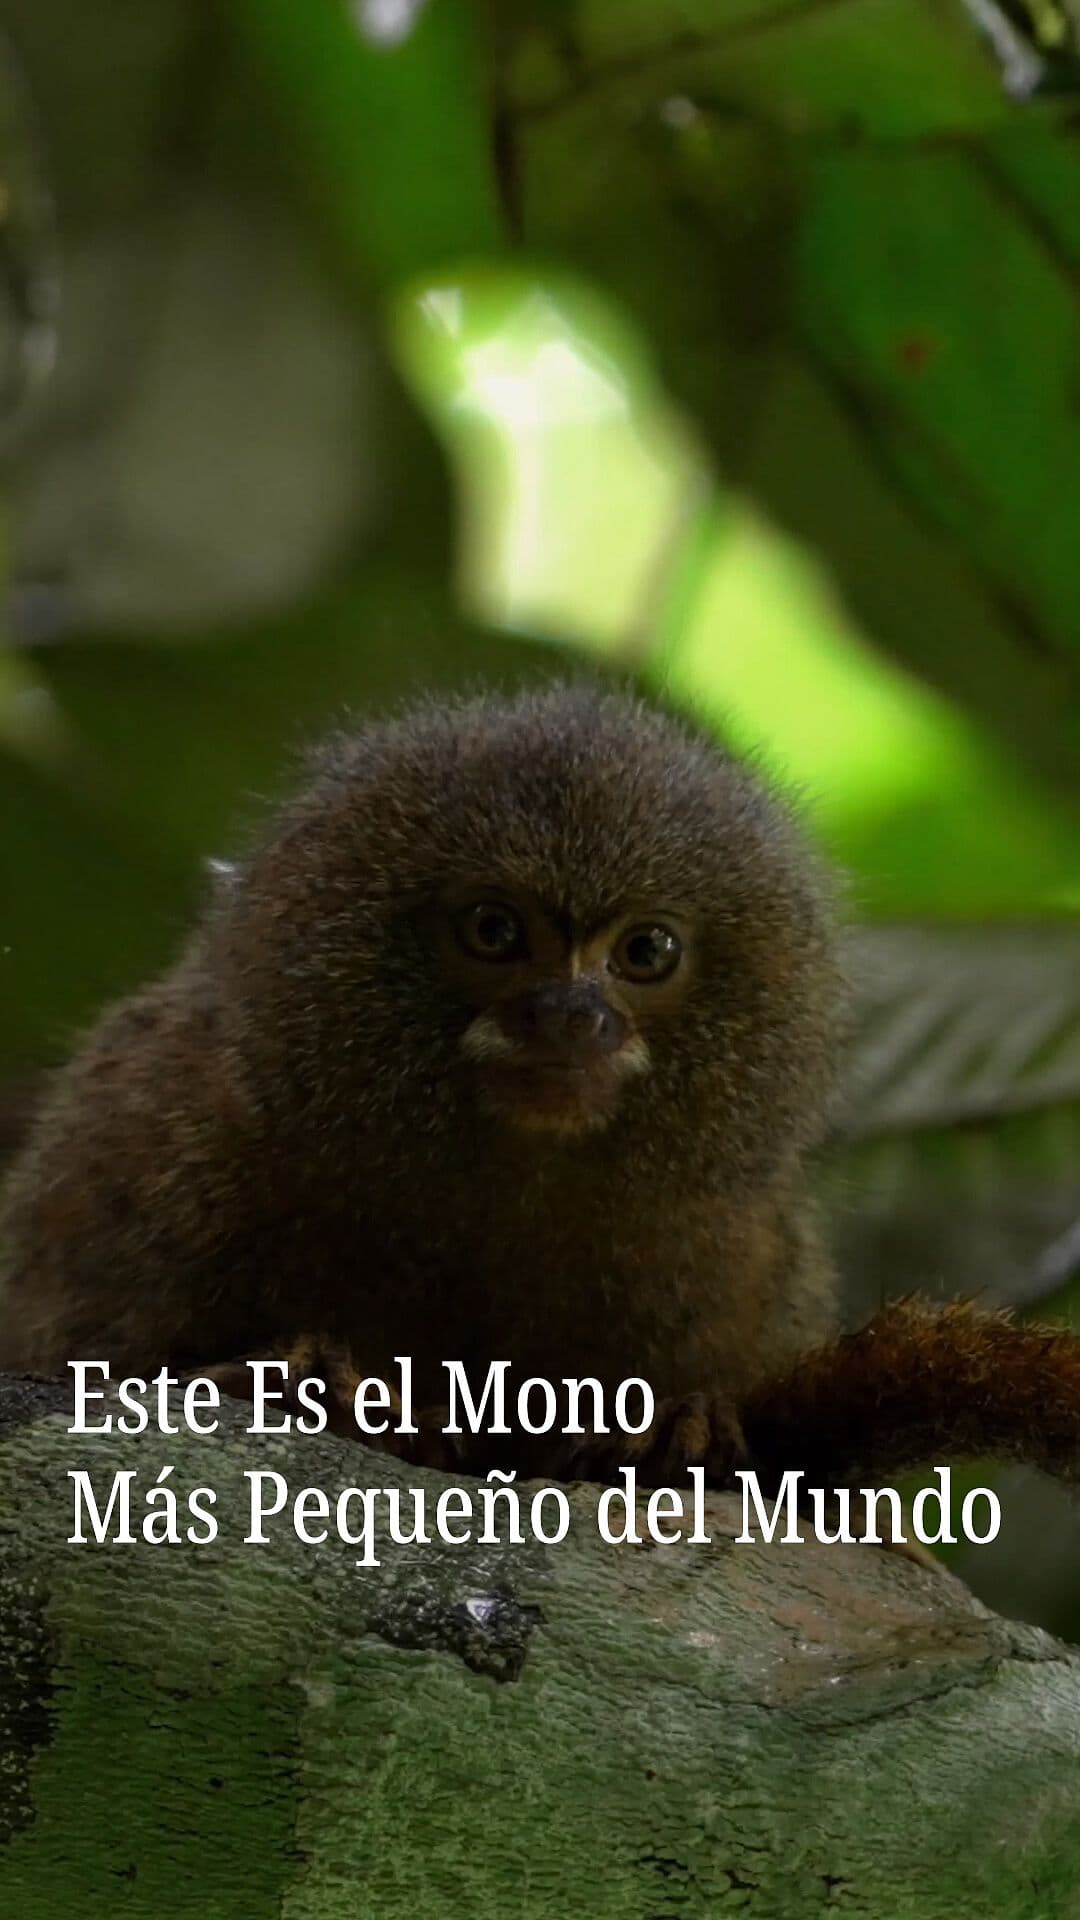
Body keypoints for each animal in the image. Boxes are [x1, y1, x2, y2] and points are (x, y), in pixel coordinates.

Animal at [1, 681, 1078, 1500]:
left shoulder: (746, 1251)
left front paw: (676, 1423)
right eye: (494, 931)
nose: (569, 1015)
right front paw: (318, 1379)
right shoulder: (143, 1142)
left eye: (645, 951)